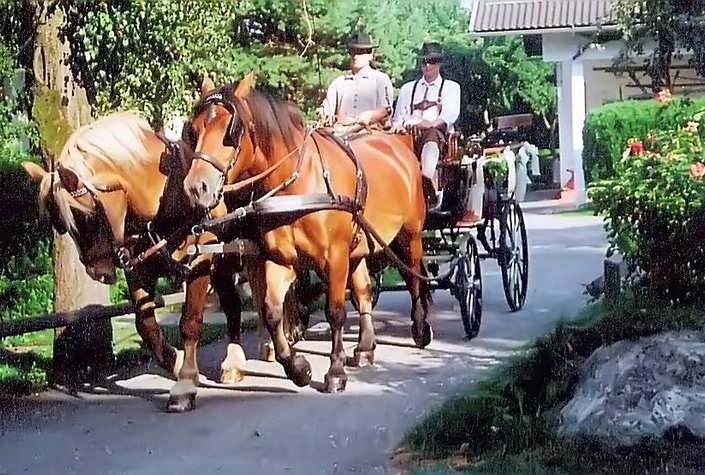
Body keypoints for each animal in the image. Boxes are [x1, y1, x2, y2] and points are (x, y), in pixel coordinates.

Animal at [20, 110, 300, 412]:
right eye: (60, 225)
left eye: (84, 217)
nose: (98, 272)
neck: (166, 198)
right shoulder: (140, 268)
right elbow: (145, 325)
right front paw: (175, 362)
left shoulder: (201, 260)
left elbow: (190, 322)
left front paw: (185, 383)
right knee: (236, 304)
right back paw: (239, 360)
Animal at [182, 73, 432, 394]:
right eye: (194, 129)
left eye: (230, 131)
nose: (195, 188)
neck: (298, 184)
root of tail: (398, 146)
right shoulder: (280, 259)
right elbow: (271, 311)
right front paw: (297, 368)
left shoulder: (334, 257)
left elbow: (335, 311)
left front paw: (335, 372)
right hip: (358, 247)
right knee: (363, 291)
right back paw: (365, 347)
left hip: (409, 236)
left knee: (414, 279)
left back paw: (420, 328)